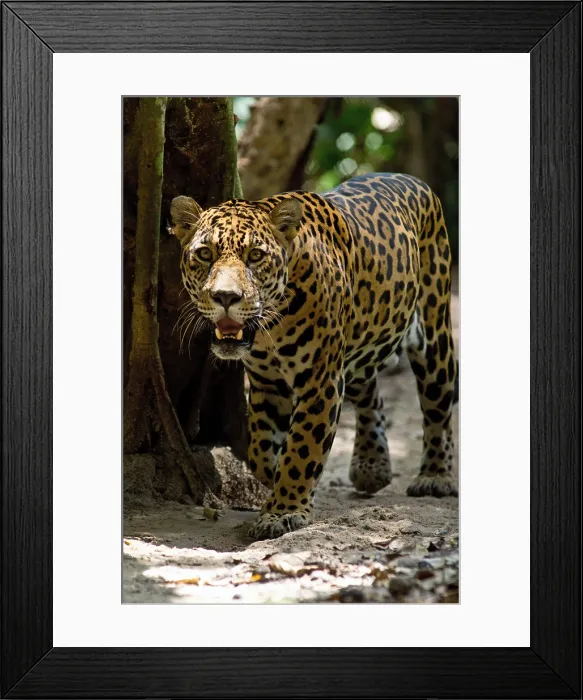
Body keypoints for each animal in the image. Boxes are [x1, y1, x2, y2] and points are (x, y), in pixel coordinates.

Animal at [169, 173, 458, 540]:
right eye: (205, 254)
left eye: (255, 256)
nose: (226, 297)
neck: (271, 326)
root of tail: (411, 179)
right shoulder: (267, 384)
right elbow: (260, 449)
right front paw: (275, 479)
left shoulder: (320, 381)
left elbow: (302, 446)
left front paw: (283, 511)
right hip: (359, 344)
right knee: (370, 393)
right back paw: (372, 466)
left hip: (434, 335)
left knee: (438, 408)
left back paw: (435, 476)